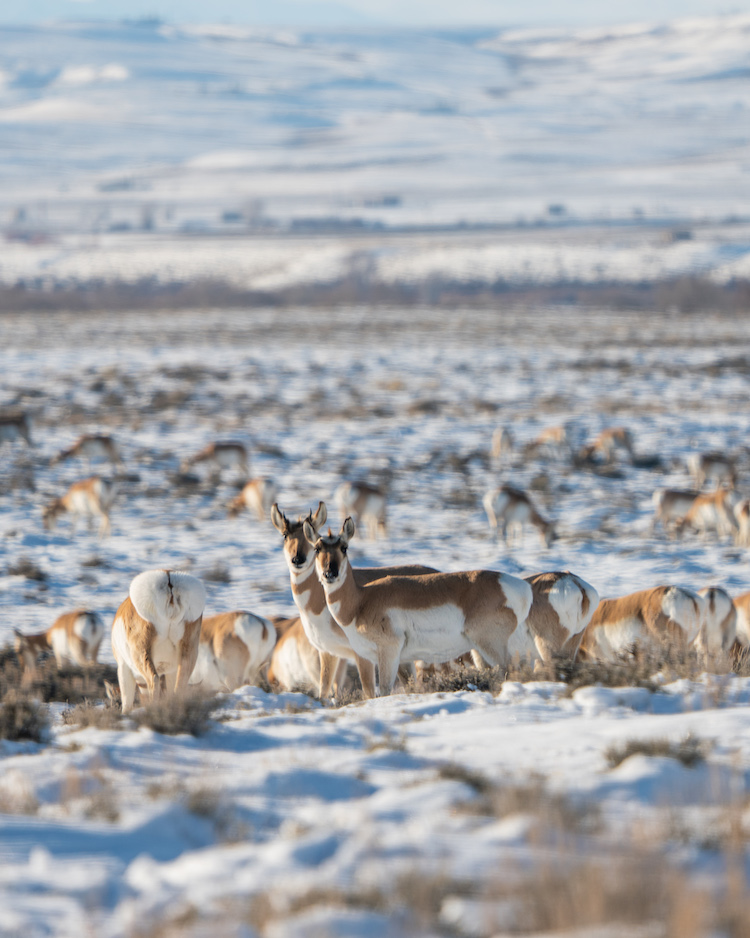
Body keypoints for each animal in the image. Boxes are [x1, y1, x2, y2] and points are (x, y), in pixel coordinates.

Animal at [111, 572, 206, 708]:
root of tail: (169, 580)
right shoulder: (171, 671)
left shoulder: (123, 667)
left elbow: (127, 703)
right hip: (188, 654)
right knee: (180, 685)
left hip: (142, 654)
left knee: (154, 679)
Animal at [272, 500, 438, 700]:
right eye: (285, 535)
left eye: (308, 537)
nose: (297, 559)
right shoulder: (328, 652)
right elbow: (324, 690)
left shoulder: (360, 654)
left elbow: (367, 690)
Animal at [306, 520, 536, 696]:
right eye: (317, 549)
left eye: (344, 548)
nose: (330, 574)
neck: (361, 601)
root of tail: (519, 585)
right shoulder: (399, 660)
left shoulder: (388, 653)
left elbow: (385, 691)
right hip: (480, 652)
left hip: (491, 645)